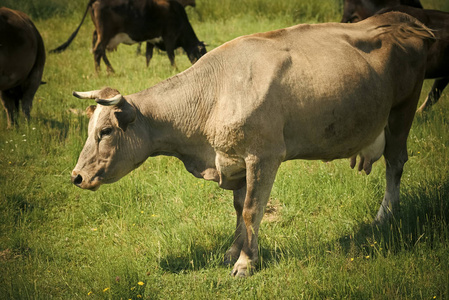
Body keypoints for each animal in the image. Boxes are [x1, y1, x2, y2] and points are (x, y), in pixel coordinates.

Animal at [51, 0, 206, 72]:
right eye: (201, 53)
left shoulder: (151, 39)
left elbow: (148, 56)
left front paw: (147, 69)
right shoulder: (169, 36)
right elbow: (171, 55)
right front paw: (176, 69)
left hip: (99, 33)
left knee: (100, 51)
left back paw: (110, 70)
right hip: (105, 33)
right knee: (97, 51)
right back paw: (99, 72)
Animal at [71, 12, 434, 278]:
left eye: (105, 131)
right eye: (90, 130)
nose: (76, 176)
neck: (213, 94)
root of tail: (400, 18)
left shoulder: (263, 156)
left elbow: (251, 210)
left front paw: (246, 262)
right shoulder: (233, 159)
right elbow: (237, 208)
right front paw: (232, 250)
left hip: (403, 108)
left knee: (395, 163)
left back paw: (385, 216)